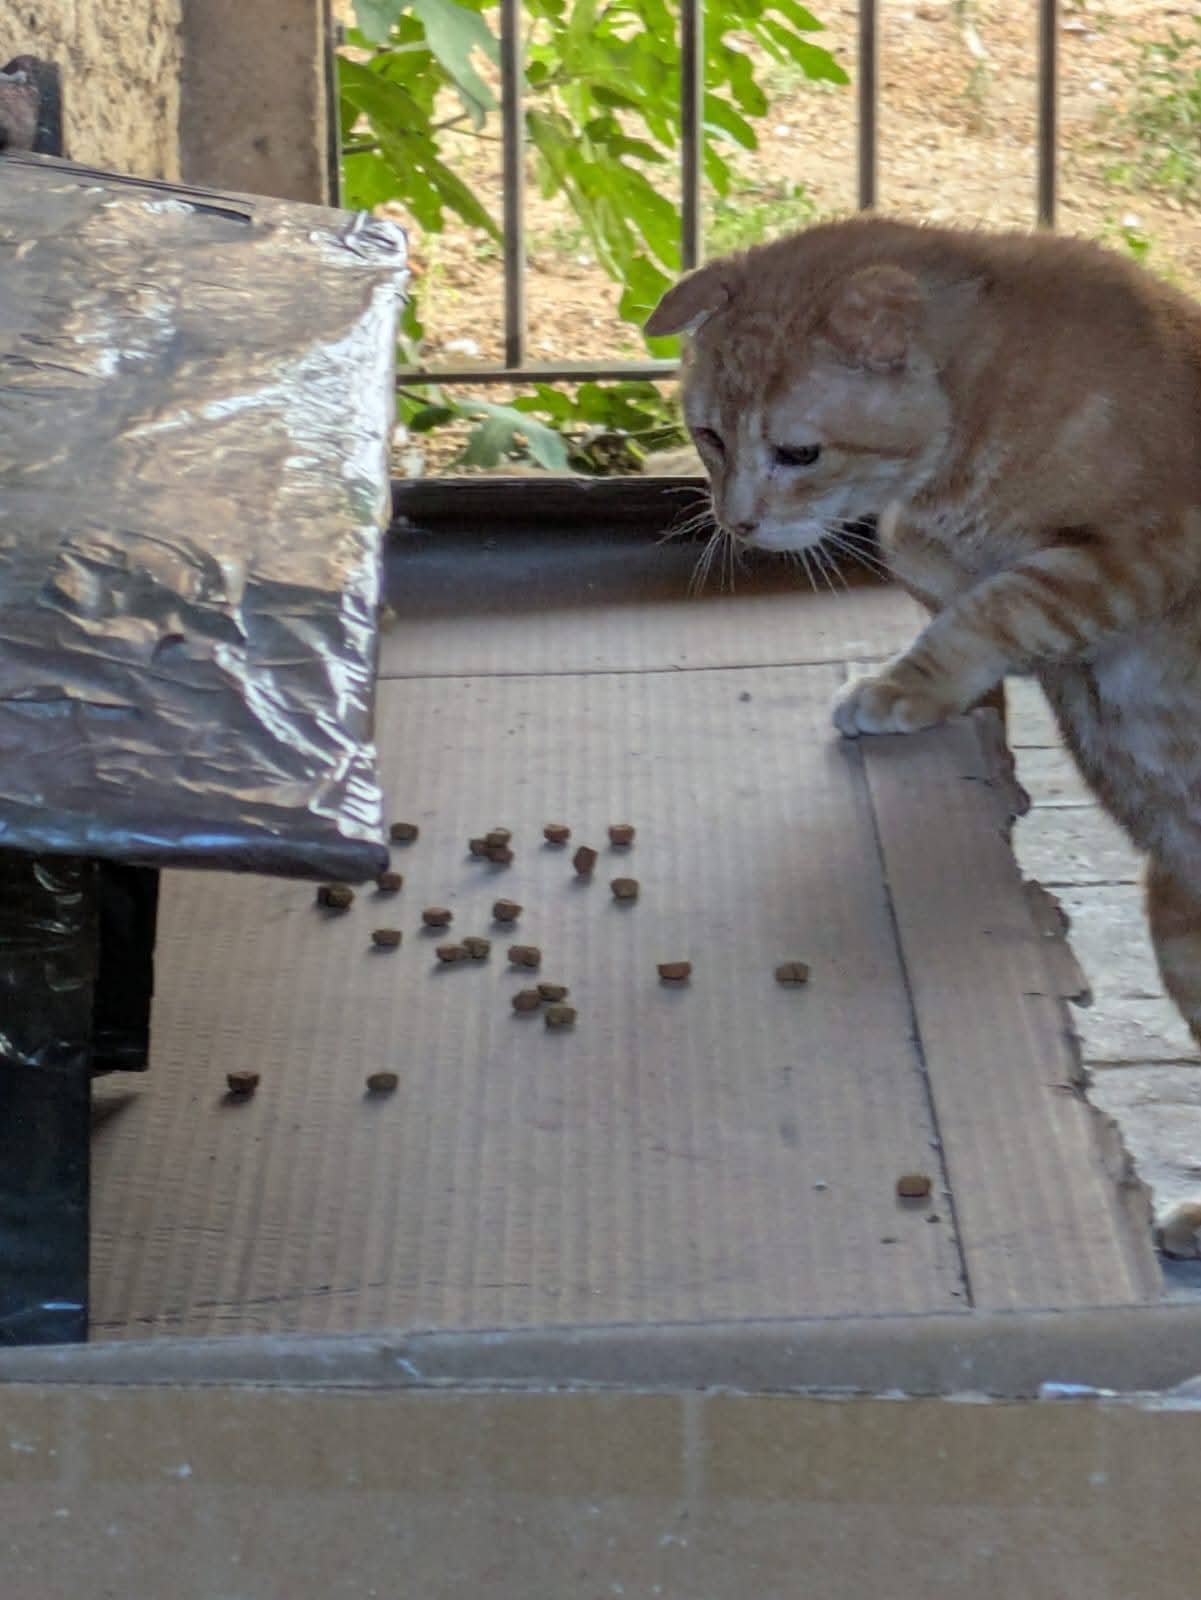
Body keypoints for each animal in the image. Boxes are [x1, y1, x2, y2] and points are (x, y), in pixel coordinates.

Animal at [647, 215, 1201, 1254]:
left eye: (797, 452)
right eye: (707, 434)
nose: (736, 523)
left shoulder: (1133, 557)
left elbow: (993, 606)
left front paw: (903, 687)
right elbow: (922, 557)